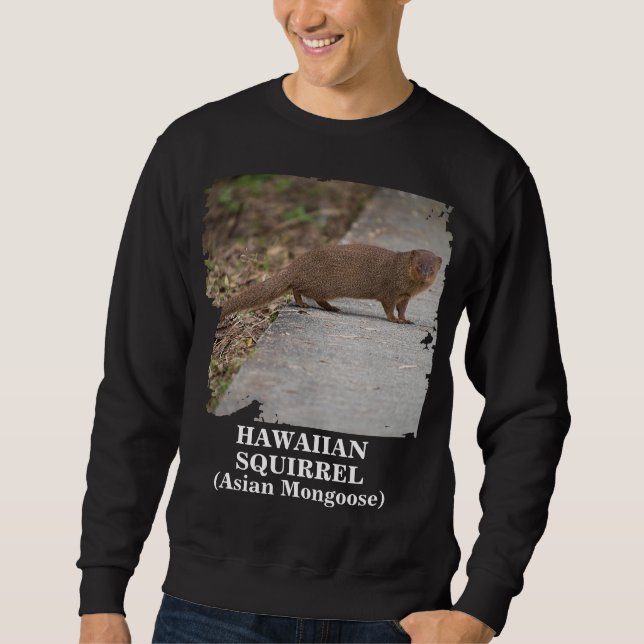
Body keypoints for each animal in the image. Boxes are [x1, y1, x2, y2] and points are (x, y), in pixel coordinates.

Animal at [219, 243, 442, 324]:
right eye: (419, 266)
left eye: (431, 269)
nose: (425, 275)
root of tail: (298, 262)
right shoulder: (389, 290)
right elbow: (388, 307)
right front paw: (394, 320)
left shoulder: (404, 297)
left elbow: (402, 309)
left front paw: (405, 319)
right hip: (322, 284)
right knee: (298, 287)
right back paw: (302, 303)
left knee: (312, 295)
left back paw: (331, 308)